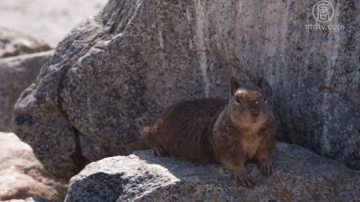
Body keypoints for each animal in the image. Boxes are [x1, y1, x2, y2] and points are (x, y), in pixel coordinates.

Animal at [142, 77, 278, 188]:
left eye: (265, 98)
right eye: (238, 99)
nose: (255, 112)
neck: (250, 130)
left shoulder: (268, 139)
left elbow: (265, 153)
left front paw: (267, 163)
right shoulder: (226, 146)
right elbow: (232, 161)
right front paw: (242, 174)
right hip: (158, 130)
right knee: (148, 134)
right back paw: (158, 148)